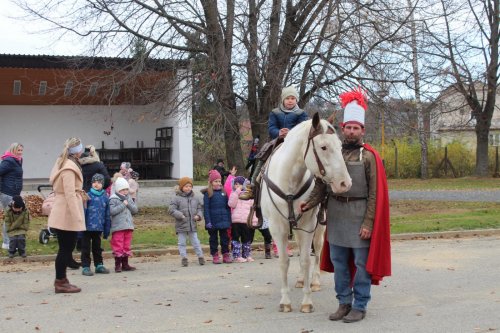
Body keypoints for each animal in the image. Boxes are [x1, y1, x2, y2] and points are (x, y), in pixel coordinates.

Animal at [260, 111, 350, 312]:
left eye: (340, 146)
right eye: (323, 147)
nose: (344, 183)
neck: (289, 183)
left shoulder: (308, 224)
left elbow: (306, 260)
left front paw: (307, 301)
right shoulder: (277, 227)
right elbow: (284, 261)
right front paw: (285, 301)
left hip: (319, 225)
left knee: (317, 249)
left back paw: (313, 281)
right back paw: (301, 279)